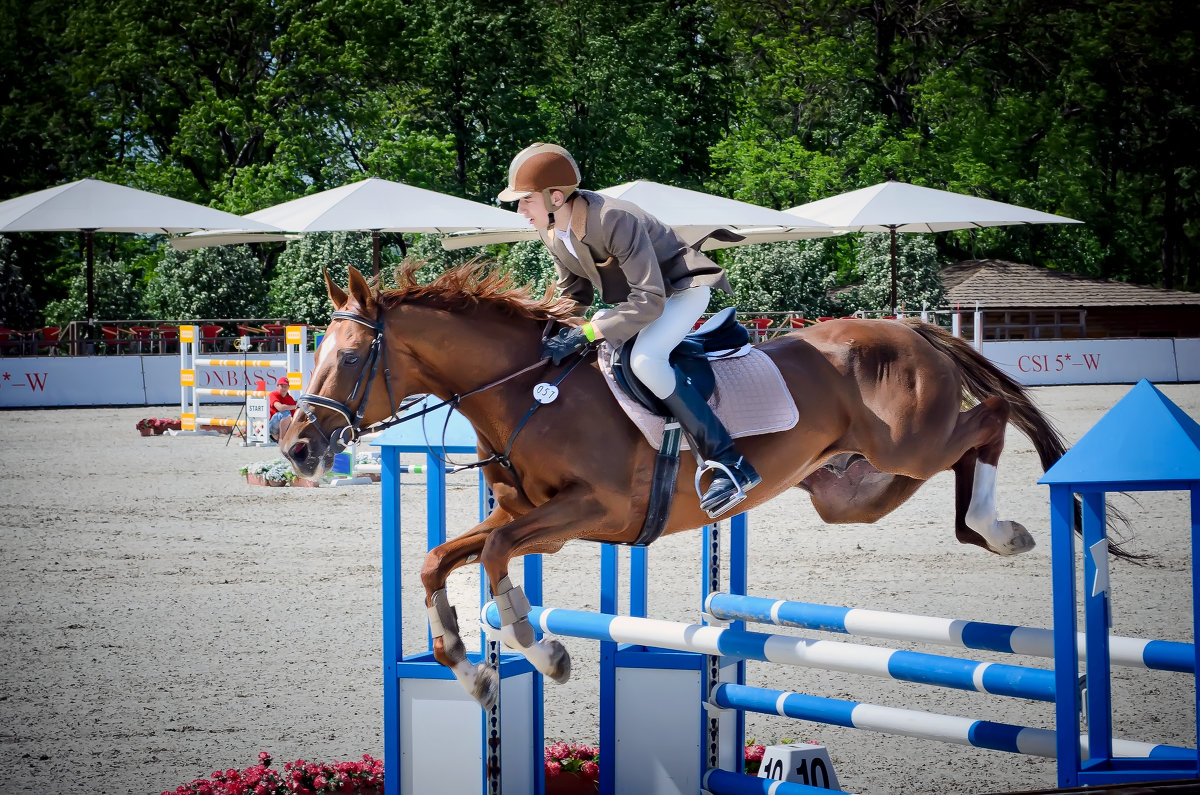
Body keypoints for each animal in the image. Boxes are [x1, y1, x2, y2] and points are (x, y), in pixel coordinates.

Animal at [280, 264, 1132, 710]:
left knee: (990, 415)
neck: (530, 393)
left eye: (349, 358)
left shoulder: (588, 512)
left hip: (913, 438)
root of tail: (904, 326)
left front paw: (543, 650)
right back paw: (983, 525)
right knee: (953, 461)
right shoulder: (528, 513)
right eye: (315, 351)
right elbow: (438, 558)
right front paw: (472, 667)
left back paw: (1001, 527)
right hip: (852, 488)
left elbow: (492, 557)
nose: (295, 446)